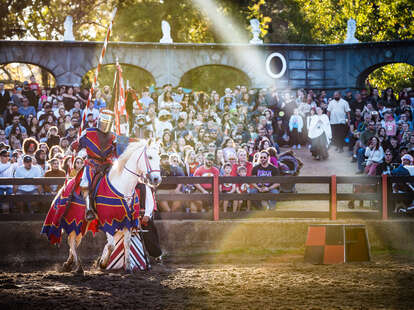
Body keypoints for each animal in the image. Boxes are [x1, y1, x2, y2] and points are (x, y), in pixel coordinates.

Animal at [60, 140, 161, 274]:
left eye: (159, 158)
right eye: (149, 157)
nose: (156, 179)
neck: (122, 185)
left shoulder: (127, 221)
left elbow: (127, 243)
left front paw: (128, 267)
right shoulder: (107, 221)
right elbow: (111, 245)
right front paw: (102, 263)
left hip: (82, 224)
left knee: (75, 241)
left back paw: (69, 263)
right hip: (74, 220)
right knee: (71, 240)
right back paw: (78, 266)